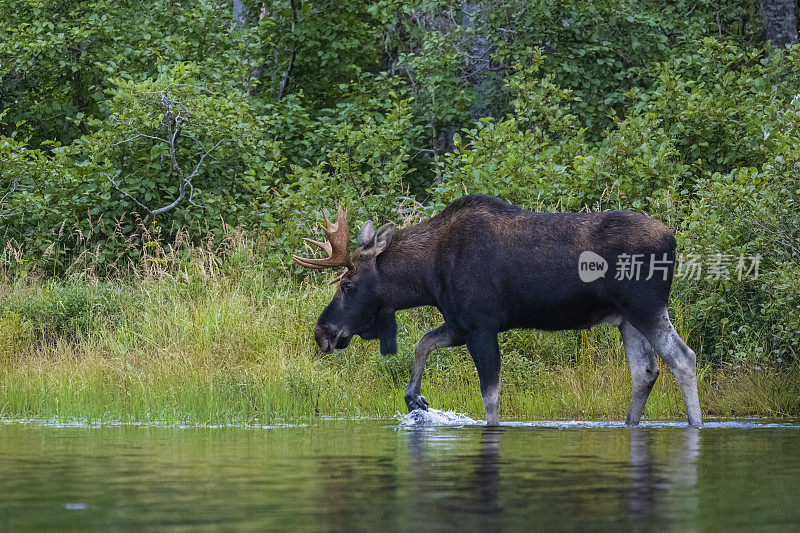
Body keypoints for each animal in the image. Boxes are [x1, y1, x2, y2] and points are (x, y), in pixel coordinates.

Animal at [292, 193, 700, 426]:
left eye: (347, 284)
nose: (322, 332)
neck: (426, 276)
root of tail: (673, 239)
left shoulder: (482, 324)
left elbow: (490, 396)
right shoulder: (459, 323)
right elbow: (422, 343)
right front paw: (415, 398)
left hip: (646, 306)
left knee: (683, 357)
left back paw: (695, 426)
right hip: (626, 319)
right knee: (644, 371)